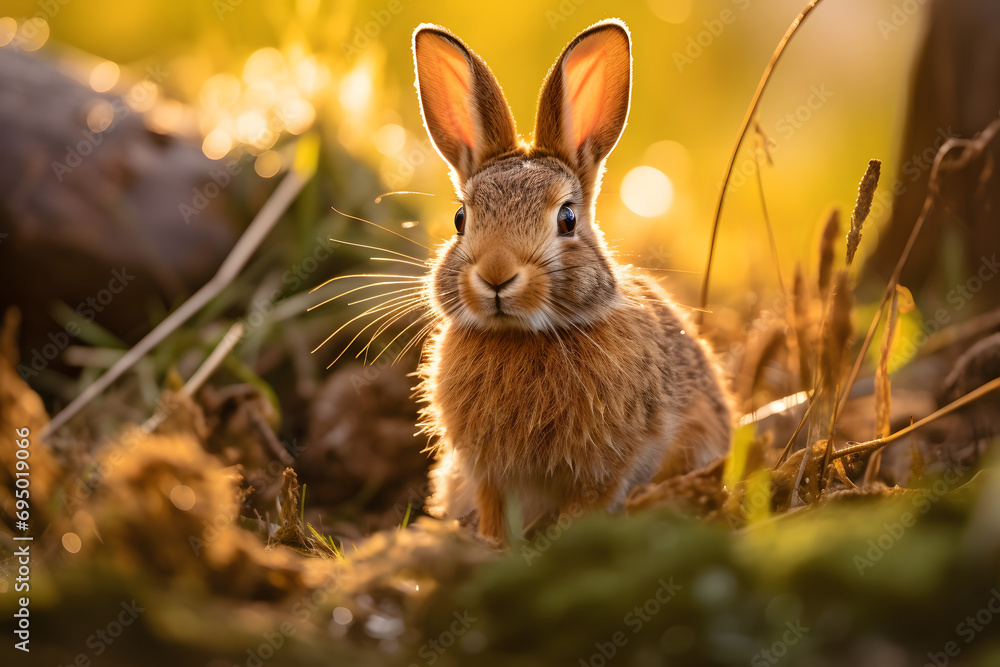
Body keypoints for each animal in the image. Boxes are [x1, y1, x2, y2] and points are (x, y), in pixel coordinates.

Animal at [410, 18, 732, 544]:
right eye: (460, 219)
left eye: (567, 219)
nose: (496, 275)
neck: (522, 336)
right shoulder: (488, 475)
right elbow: (495, 512)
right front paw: (493, 547)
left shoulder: (610, 467)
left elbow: (587, 508)